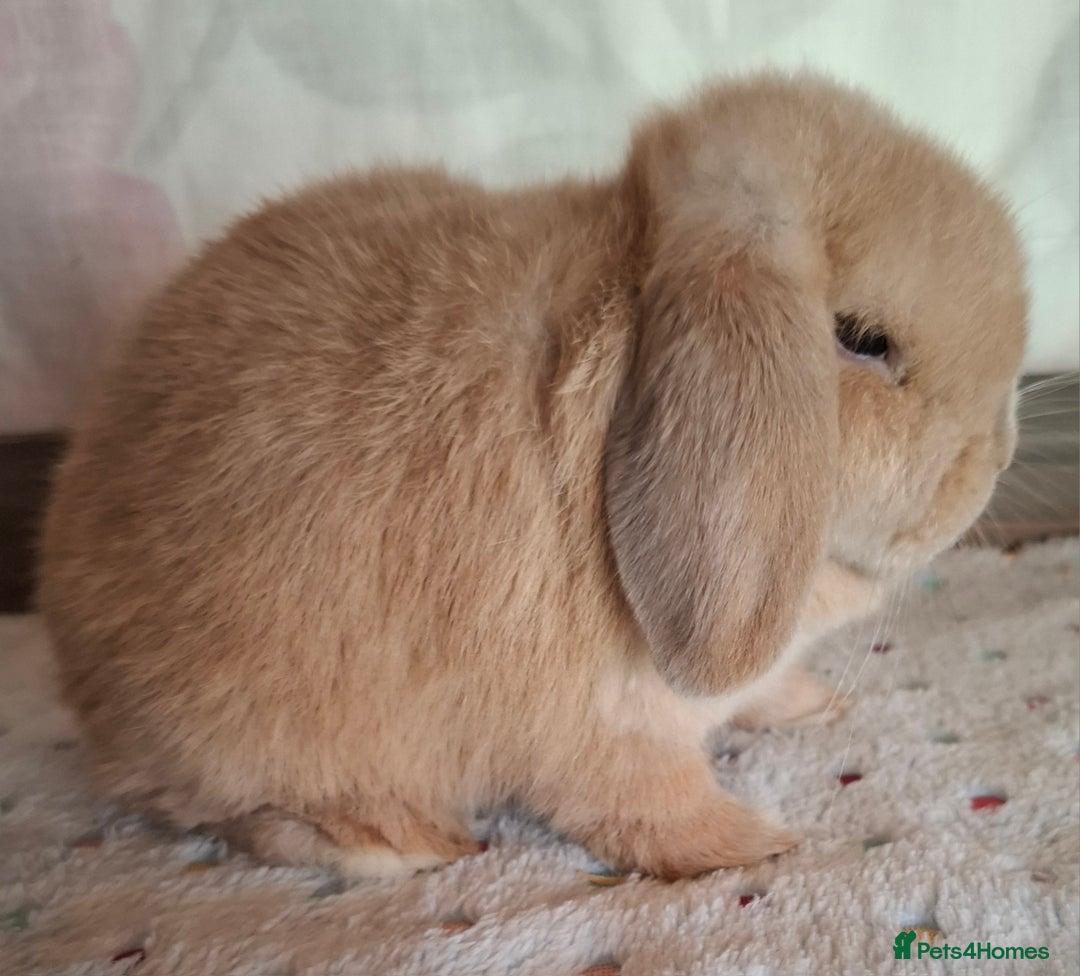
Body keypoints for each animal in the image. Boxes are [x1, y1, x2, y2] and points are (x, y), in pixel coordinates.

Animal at [38, 72, 1026, 881]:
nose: (997, 457)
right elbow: (650, 807)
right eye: (863, 340)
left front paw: (813, 706)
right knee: (239, 812)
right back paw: (393, 842)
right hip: (242, 737)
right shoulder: (604, 735)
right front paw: (759, 846)